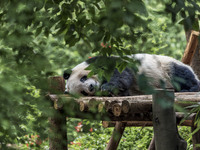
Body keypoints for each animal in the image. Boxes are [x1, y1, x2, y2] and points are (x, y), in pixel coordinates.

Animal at [63, 54, 200, 96]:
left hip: (166, 67)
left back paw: (189, 88)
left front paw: (108, 87)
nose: (91, 87)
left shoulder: (106, 61)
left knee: (181, 75)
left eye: (83, 78)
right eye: (83, 92)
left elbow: (120, 74)